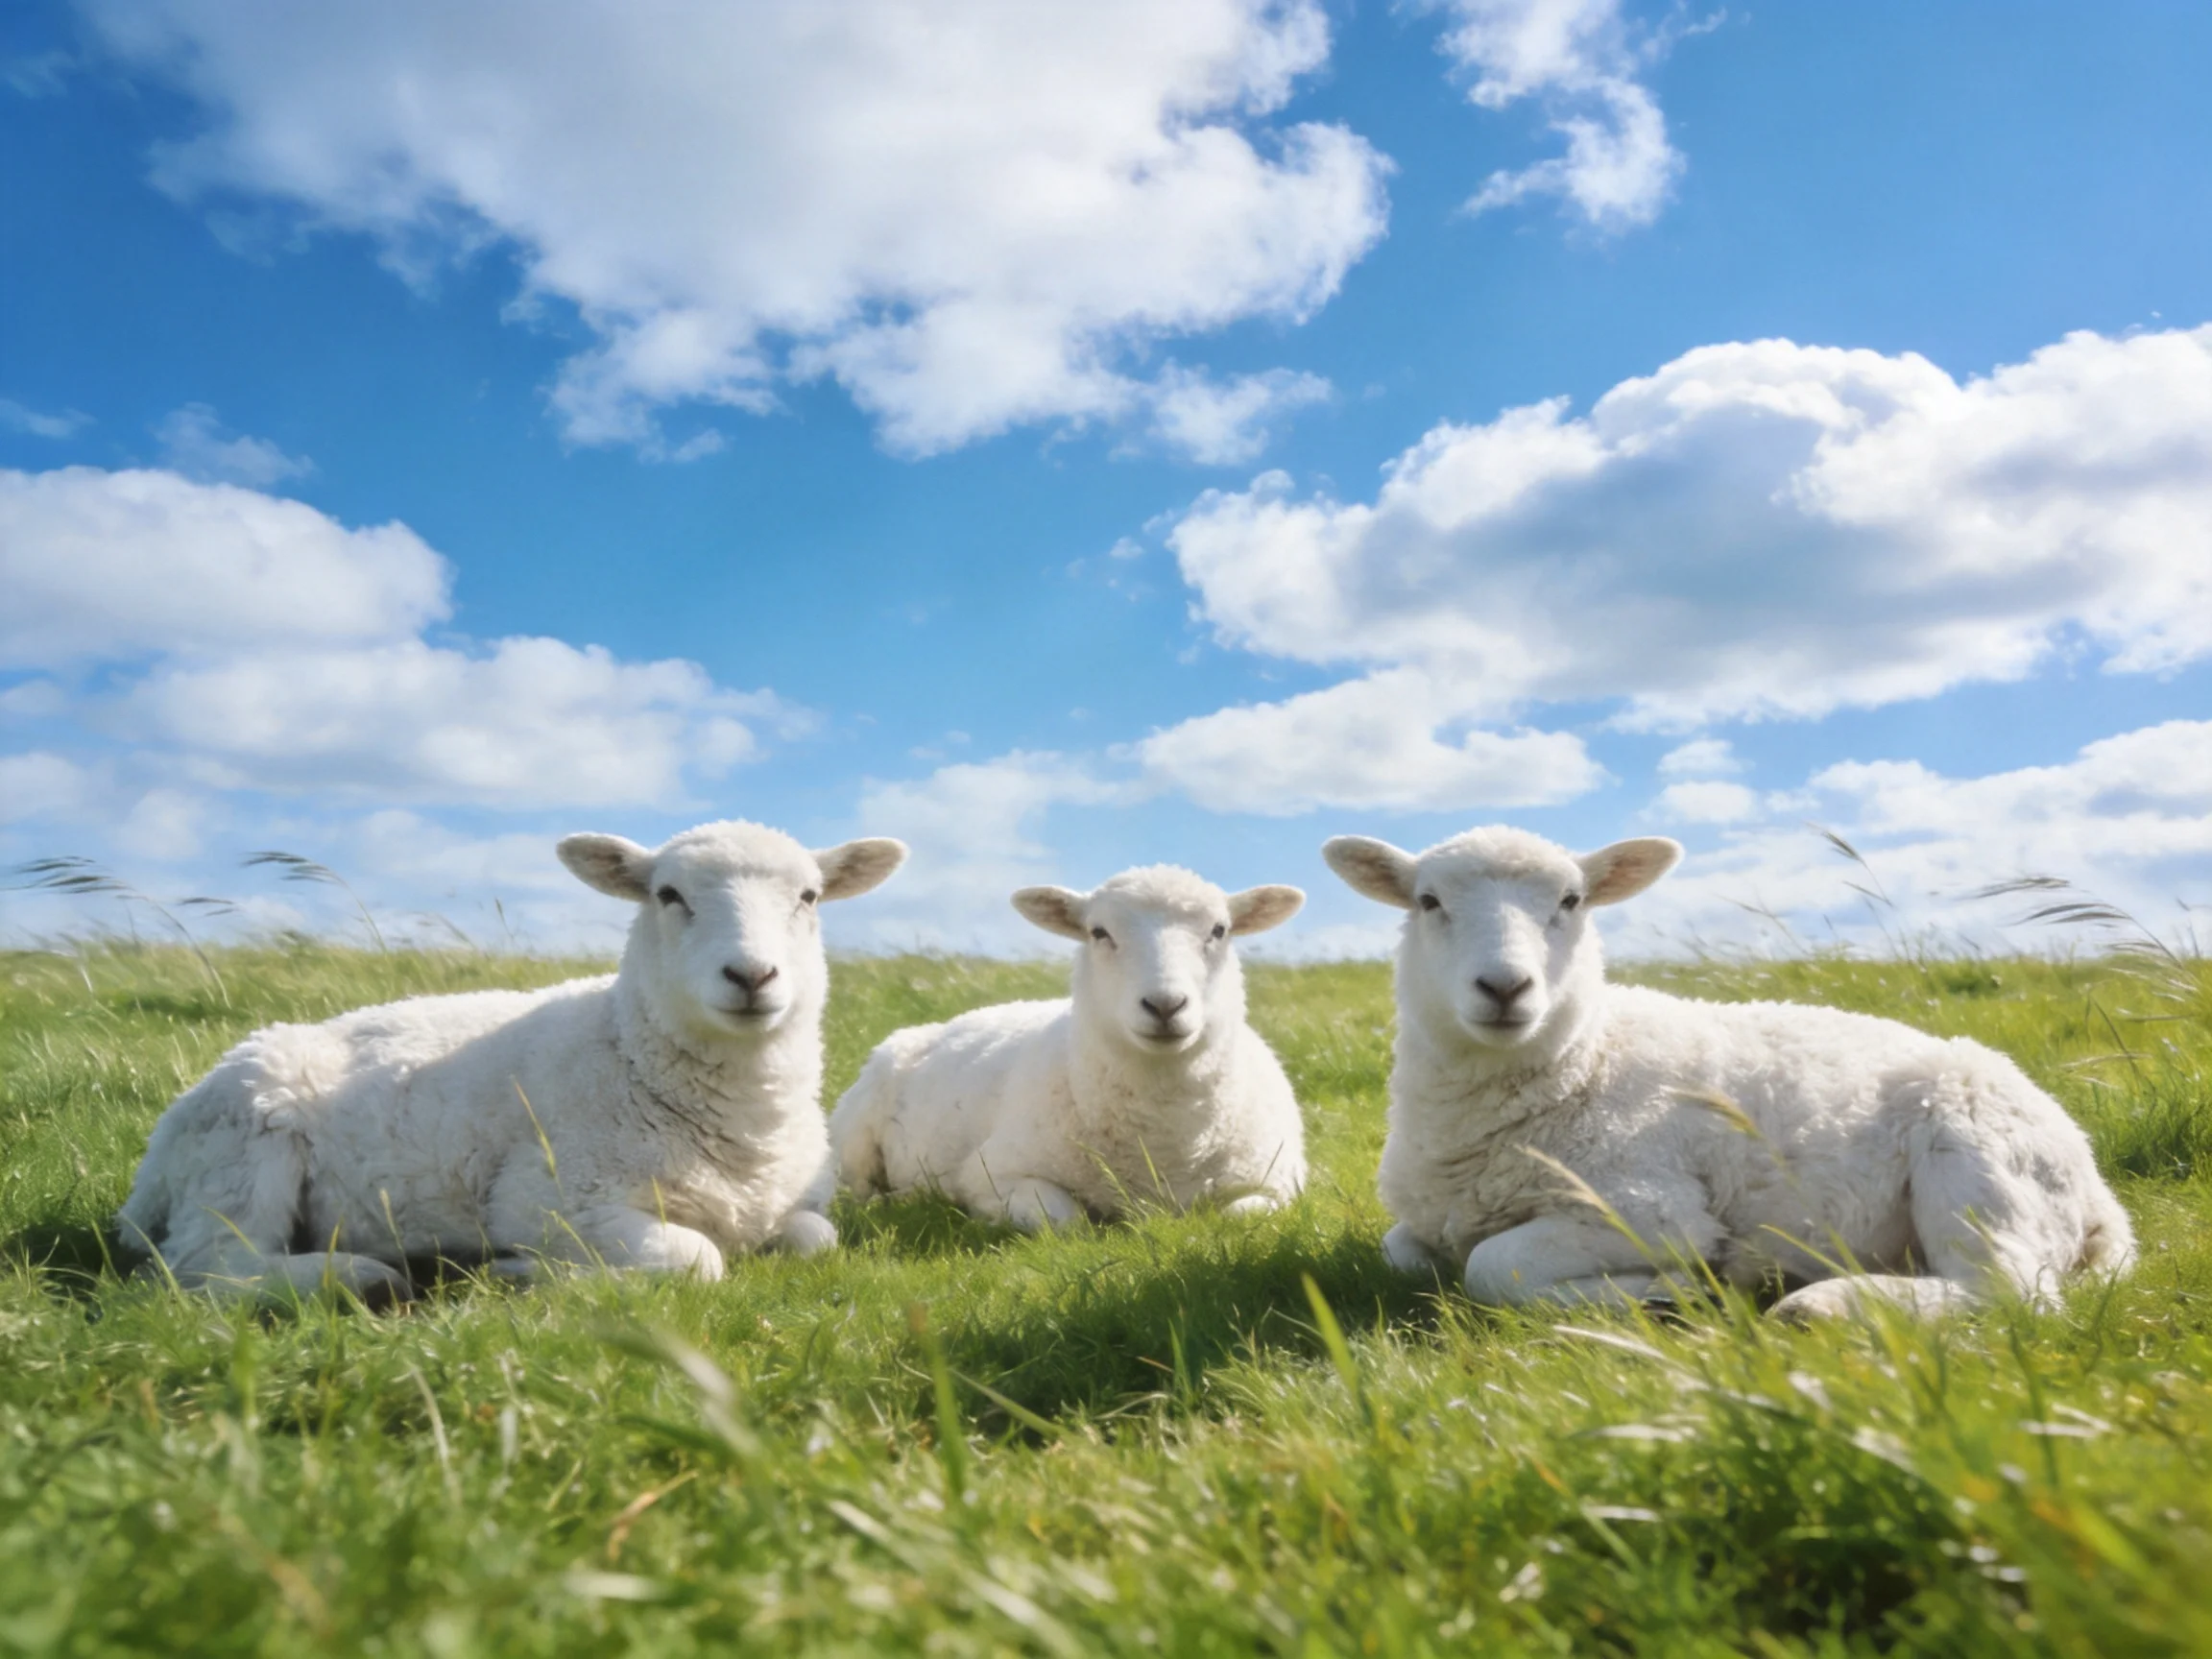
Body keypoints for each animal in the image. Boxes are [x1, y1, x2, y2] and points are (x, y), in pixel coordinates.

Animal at [117, 820, 907, 1302]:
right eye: (668, 894)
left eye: (809, 896)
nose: (751, 975)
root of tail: (157, 1156)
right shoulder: (550, 1199)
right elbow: (698, 1259)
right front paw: (532, 1274)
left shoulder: (796, 1208)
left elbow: (816, 1239)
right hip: (246, 1152)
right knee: (205, 1271)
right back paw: (362, 1275)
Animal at [830, 866, 1308, 1231]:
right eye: (1099, 932)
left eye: (1219, 930)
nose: (1165, 1005)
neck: (1162, 1144)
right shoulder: (991, 1173)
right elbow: (1066, 1222)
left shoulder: (1278, 1182)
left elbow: (1236, 1217)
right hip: (850, 1142)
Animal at [1323, 826, 2134, 1321]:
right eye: (1428, 901)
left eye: (1571, 901)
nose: (1504, 987)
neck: (1583, 1064)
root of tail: (2099, 1196)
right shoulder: (1424, 1222)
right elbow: (1404, 1255)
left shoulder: (1651, 1209)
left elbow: (1490, 1268)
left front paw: (1669, 1291)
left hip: (1978, 1163)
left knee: (2010, 1293)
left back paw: (1818, 1306)